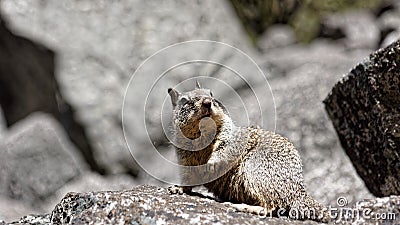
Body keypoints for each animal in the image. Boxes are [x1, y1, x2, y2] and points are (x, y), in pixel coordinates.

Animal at [167, 82, 330, 221]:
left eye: (211, 93)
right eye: (184, 101)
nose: (207, 102)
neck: (203, 136)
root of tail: (299, 193)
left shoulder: (229, 136)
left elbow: (225, 149)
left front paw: (211, 164)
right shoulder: (184, 157)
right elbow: (188, 177)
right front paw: (178, 188)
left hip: (256, 171)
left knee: (272, 207)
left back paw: (243, 207)